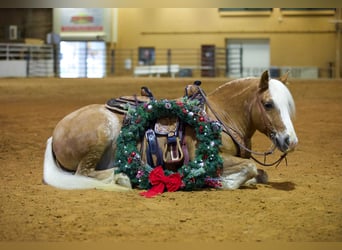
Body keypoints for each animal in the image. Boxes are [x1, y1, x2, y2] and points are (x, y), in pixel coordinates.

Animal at [44, 71, 298, 193]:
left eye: (288, 104)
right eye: (268, 104)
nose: (291, 141)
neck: (222, 117)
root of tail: (56, 132)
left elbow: (260, 173)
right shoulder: (208, 158)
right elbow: (251, 167)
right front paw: (222, 181)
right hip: (101, 134)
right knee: (83, 173)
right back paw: (123, 177)